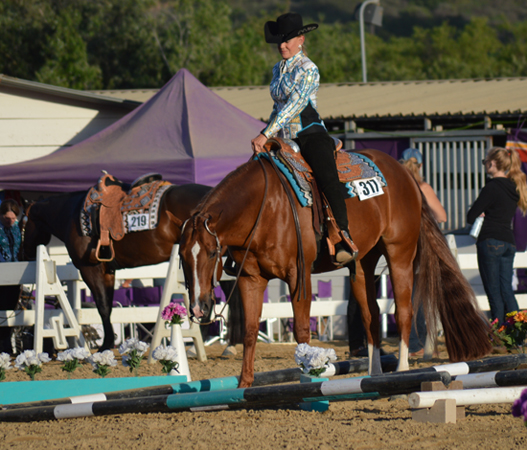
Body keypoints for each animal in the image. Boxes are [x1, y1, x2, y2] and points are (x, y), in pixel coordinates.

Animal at [21, 181, 212, 350]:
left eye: (21, 222)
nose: (24, 252)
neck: (70, 215)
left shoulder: (90, 269)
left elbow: (103, 307)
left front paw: (106, 344)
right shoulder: (108, 271)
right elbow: (108, 305)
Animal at [179, 147, 492, 386]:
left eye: (211, 253)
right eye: (181, 256)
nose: (198, 308)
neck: (265, 207)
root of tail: (406, 176)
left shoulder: (299, 275)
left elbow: (302, 331)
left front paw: (307, 378)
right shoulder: (250, 278)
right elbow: (249, 330)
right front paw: (244, 384)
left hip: (399, 254)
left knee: (404, 311)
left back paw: (402, 369)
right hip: (362, 264)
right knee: (371, 317)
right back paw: (374, 375)